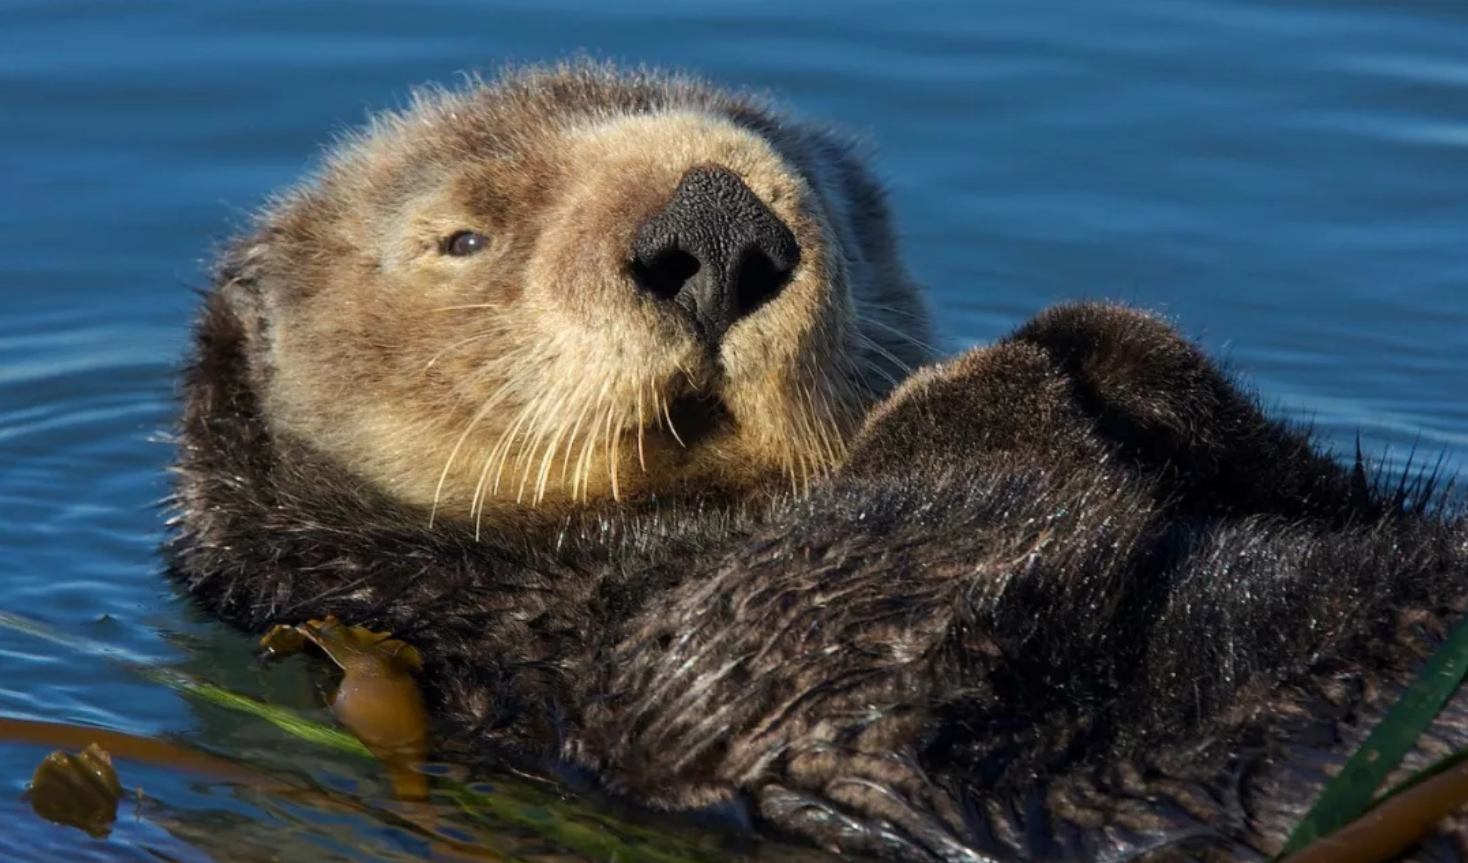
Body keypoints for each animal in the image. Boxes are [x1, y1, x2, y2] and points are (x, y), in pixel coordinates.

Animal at [171, 64, 1468, 857]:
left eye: (835, 199)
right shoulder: (596, 665)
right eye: (463, 236)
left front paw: (1106, 339)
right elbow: (809, 630)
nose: (716, 222)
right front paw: (986, 375)